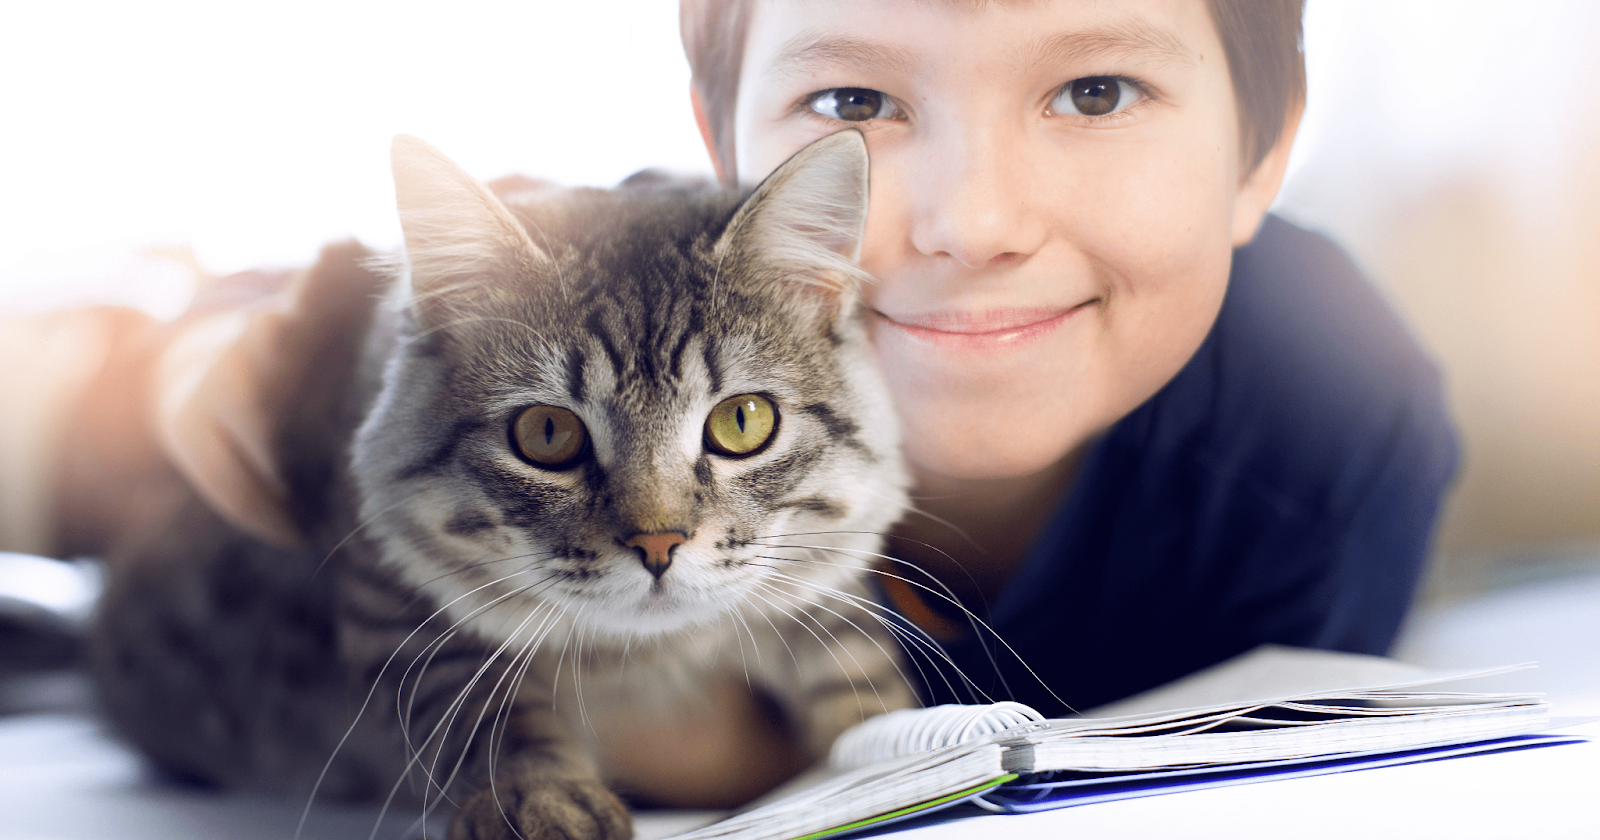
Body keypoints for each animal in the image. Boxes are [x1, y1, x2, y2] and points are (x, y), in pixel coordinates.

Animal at [90, 132, 915, 838]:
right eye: (547, 434)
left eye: (742, 422)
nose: (658, 544)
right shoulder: (389, 594)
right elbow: (487, 716)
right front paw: (541, 802)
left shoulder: (825, 586)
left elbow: (858, 672)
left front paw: (888, 745)